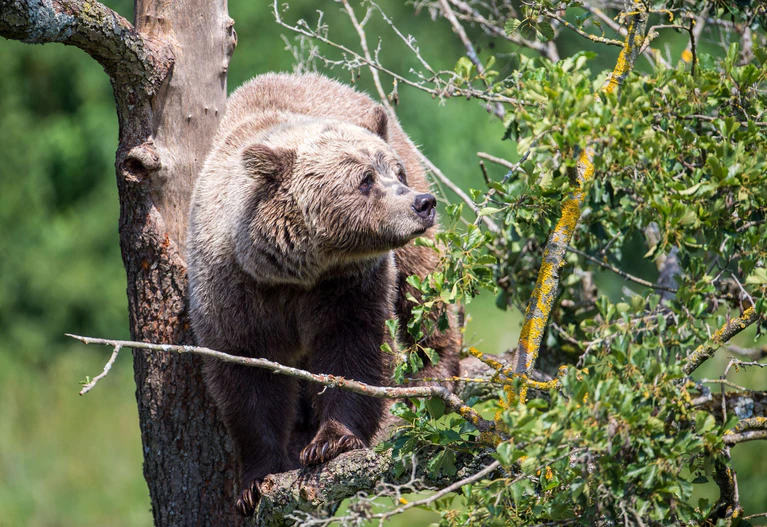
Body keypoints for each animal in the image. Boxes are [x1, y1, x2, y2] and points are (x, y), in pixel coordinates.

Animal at [187, 72, 460, 516]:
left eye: (395, 172)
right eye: (365, 179)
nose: (422, 203)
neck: (295, 271)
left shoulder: (347, 285)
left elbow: (353, 349)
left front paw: (331, 441)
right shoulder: (233, 292)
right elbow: (246, 376)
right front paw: (256, 480)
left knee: (424, 291)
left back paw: (433, 374)